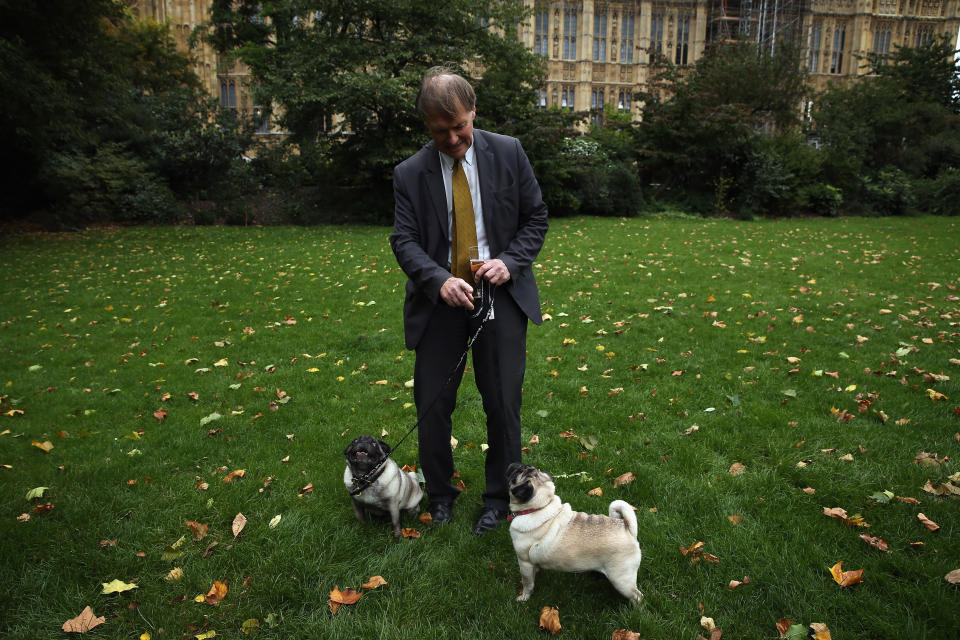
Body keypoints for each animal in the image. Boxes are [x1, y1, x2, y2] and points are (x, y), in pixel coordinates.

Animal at [506, 462, 640, 604]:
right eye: (523, 467)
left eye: (517, 474)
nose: (518, 465)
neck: (539, 508)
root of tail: (627, 527)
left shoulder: (524, 562)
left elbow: (528, 583)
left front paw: (524, 597)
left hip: (621, 579)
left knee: (637, 595)